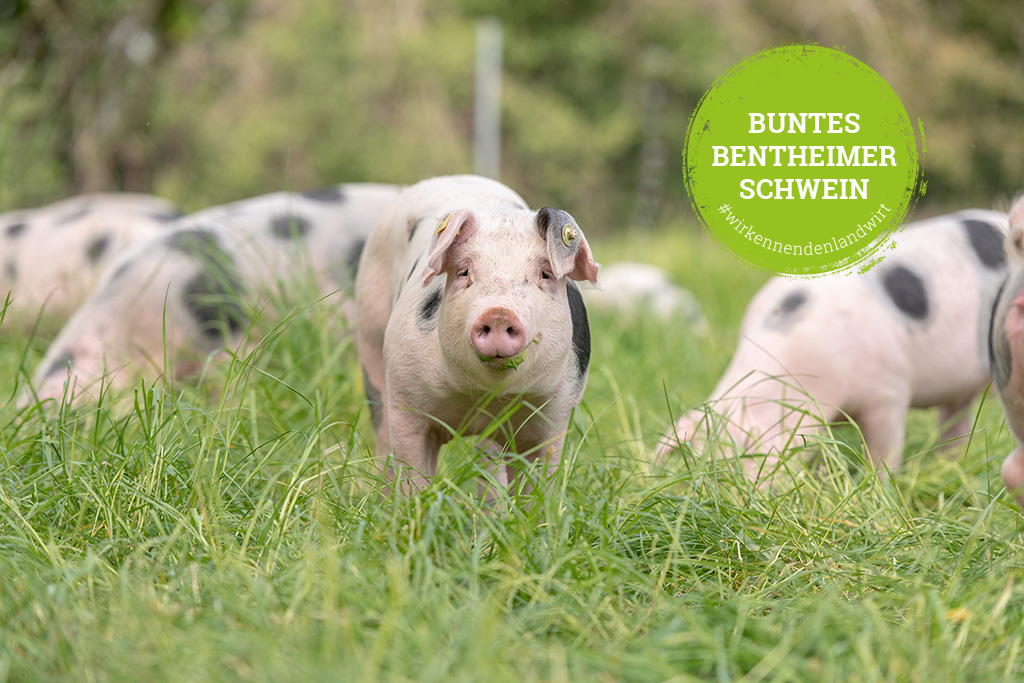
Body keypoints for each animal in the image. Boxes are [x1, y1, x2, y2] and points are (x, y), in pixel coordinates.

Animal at [354, 175, 599, 495]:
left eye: (545, 274)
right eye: (464, 272)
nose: (499, 313)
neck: (483, 394)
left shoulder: (554, 414)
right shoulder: (406, 401)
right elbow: (412, 473)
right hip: (369, 331)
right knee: (382, 432)